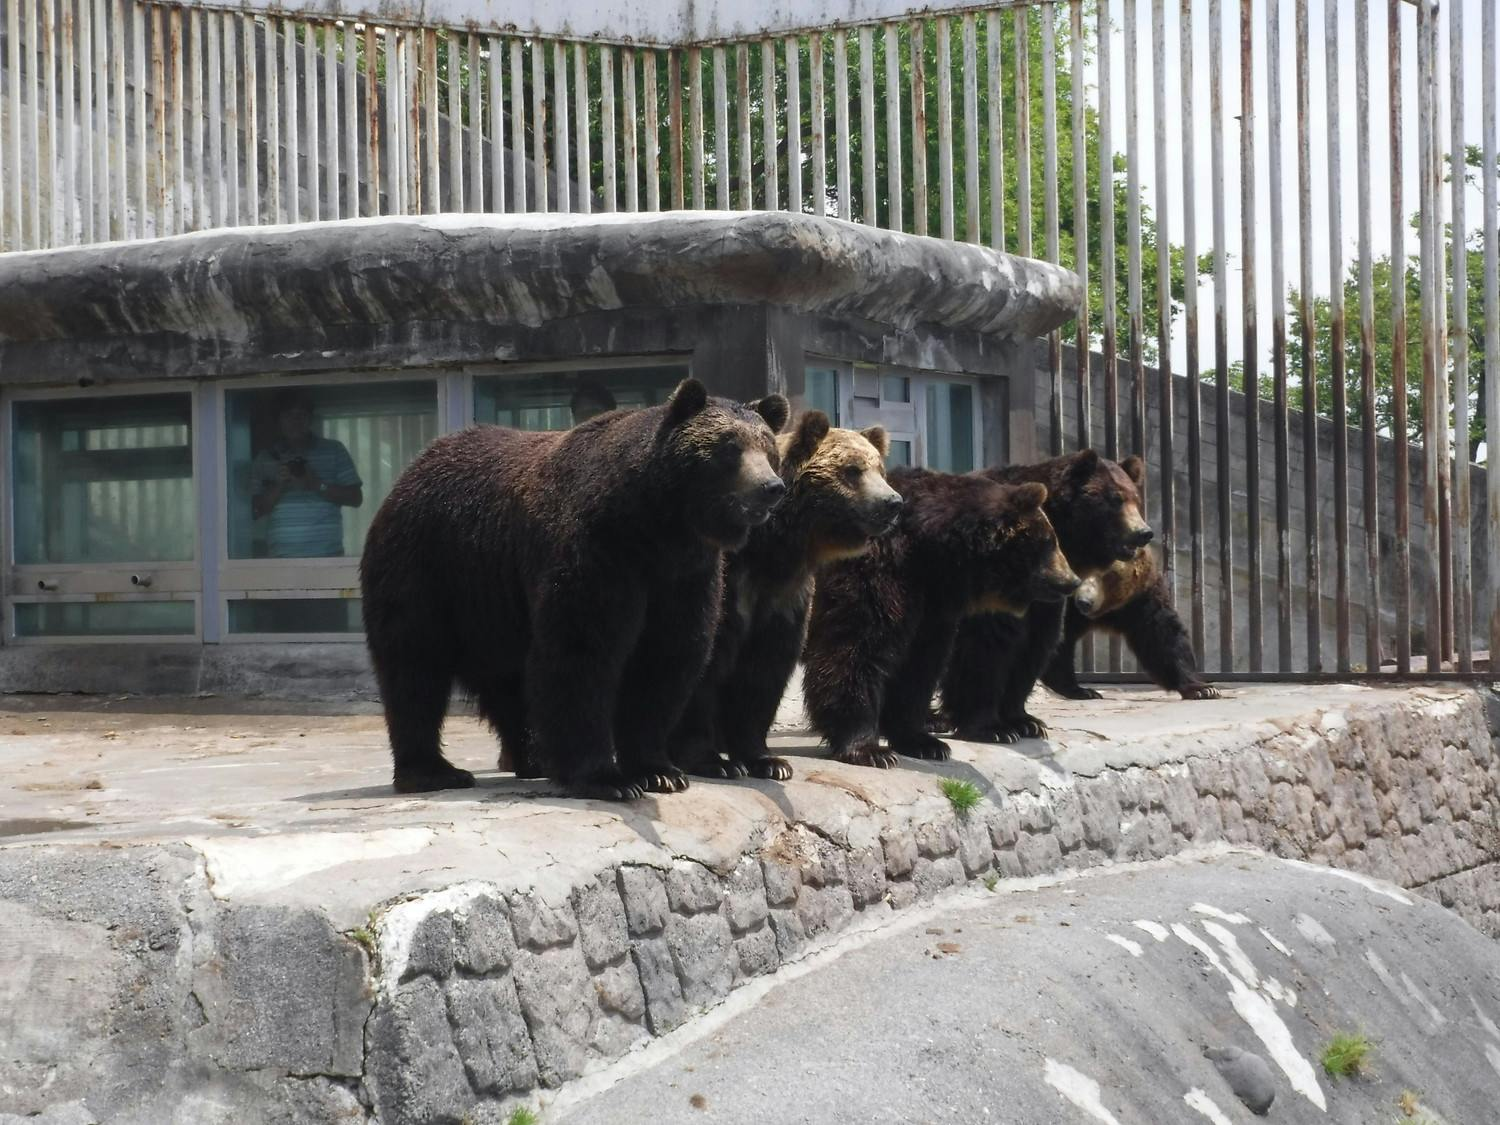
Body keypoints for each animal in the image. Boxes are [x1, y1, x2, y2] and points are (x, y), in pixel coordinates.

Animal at [358, 378, 790, 800]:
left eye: (768, 448)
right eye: (729, 447)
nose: (771, 486)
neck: (655, 527)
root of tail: (412, 469)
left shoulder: (684, 577)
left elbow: (666, 656)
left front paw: (659, 771)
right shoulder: (599, 554)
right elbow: (582, 653)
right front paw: (607, 779)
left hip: (493, 603)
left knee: (506, 681)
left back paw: (532, 759)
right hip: (427, 570)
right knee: (414, 668)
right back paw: (433, 771)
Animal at [669, 411, 902, 781]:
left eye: (880, 469)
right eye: (852, 470)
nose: (892, 502)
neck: (772, 547)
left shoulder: (783, 596)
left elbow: (767, 668)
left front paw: (766, 760)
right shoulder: (729, 584)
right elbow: (704, 662)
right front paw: (711, 759)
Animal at [802, 468, 1080, 769]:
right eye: (1049, 543)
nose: (1072, 580)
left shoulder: (930, 604)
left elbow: (920, 663)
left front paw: (924, 742)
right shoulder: (876, 572)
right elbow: (855, 648)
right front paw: (870, 750)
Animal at [939, 449, 1153, 744]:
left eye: (1135, 498)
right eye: (1115, 499)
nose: (1143, 532)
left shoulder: (1043, 597)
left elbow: (1037, 640)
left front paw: (1025, 721)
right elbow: (986, 643)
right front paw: (991, 728)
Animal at [1041, 545, 1220, 701]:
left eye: (1108, 575)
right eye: (1079, 567)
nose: (1084, 602)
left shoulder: (1139, 600)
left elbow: (1162, 637)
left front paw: (1203, 689)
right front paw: (1082, 690)